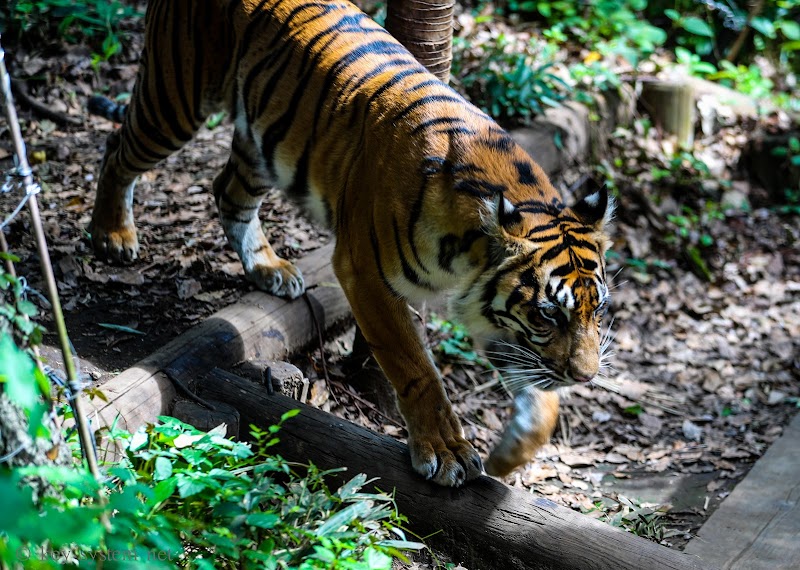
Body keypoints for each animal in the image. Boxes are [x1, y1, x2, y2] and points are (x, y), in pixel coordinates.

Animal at [87, 0, 612, 486]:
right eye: (548, 313)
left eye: (598, 309)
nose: (587, 376)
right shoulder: (366, 273)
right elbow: (416, 368)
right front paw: (445, 451)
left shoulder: (498, 316)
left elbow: (538, 391)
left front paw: (511, 455)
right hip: (175, 100)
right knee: (117, 147)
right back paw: (112, 235)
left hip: (263, 140)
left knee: (227, 189)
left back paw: (269, 269)